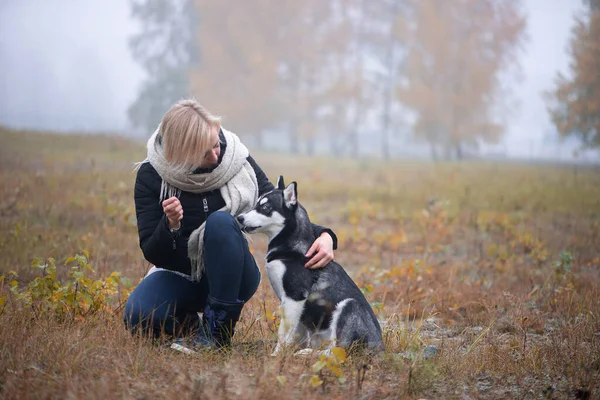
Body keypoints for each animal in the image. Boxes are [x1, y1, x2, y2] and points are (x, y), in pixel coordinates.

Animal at [237, 177, 382, 354]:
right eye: (257, 203)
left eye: (265, 207)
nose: (240, 217)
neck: (292, 247)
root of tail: (380, 347)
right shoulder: (294, 305)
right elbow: (295, 332)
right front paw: (288, 353)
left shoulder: (295, 296)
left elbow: (283, 332)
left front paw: (277, 354)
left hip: (349, 307)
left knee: (335, 352)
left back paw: (307, 354)